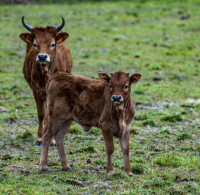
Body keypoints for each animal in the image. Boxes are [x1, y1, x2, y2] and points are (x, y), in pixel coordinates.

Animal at [19, 16, 72, 145]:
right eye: (35, 44)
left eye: (52, 44)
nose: (42, 56)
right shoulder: (35, 90)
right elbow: (41, 113)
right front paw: (39, 138)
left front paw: (52, 139)